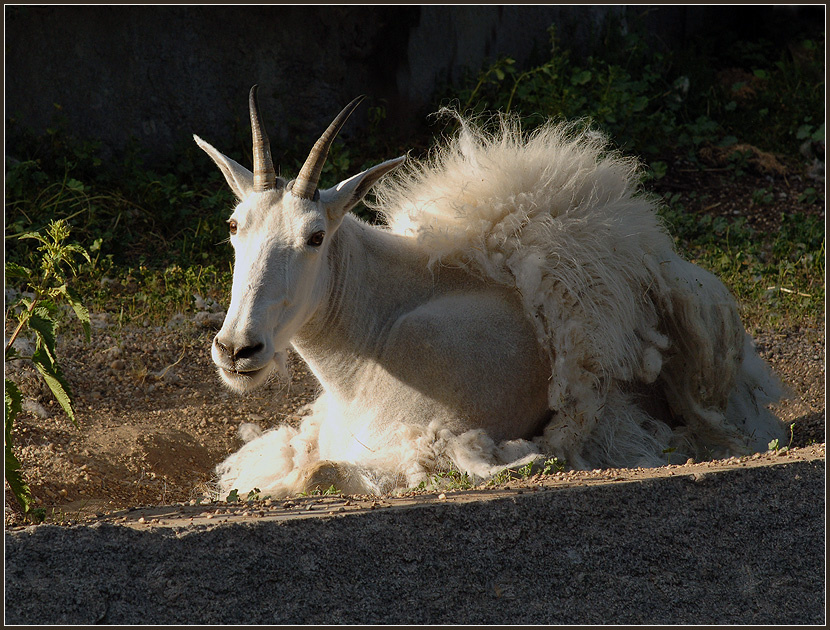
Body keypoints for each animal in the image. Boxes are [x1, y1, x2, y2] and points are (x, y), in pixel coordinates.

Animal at [194, 86, 786, 497]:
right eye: (234, 224)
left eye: (315, 236)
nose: (237, 348)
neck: (369, 345)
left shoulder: (437, 441)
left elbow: (315, 473)